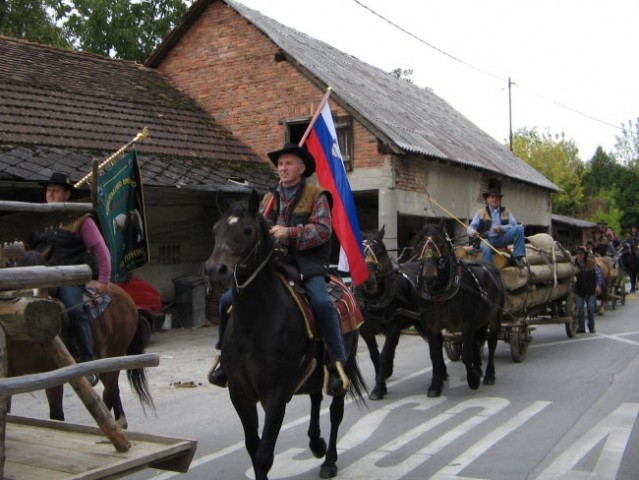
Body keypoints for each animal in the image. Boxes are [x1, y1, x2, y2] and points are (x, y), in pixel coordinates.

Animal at [202, 191, 368, 480]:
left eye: (248, 230)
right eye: (215, 229)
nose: (215, 271)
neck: (255, 325)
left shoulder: (276, 396)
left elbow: (264, 456)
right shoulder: (239, 394)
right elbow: (252, 448)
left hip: (343, 364)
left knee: (335, 412)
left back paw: (329, 461)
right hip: (313, 369)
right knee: (315, 397)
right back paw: (316, 442)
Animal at [356, 227, 424, 400]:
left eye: (380, 251)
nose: (369, 281)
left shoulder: (394, 326)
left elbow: (384, 355)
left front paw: (379, 388)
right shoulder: (365, 331)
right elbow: (374, 356)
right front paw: (381, 381)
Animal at [412, 221, 508, 398]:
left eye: (441, 244)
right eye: (420, 245)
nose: (429, 276)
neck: (440, 294)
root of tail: (492, 269)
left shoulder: (466, 325)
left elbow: (466, 355)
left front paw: (473, 380)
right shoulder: (431, 327)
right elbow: (434, 355)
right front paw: (435, 385)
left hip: (495, 317)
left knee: (491, 343)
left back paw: (489, 375)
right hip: (481, 320)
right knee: (478, 341)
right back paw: (478, 368)